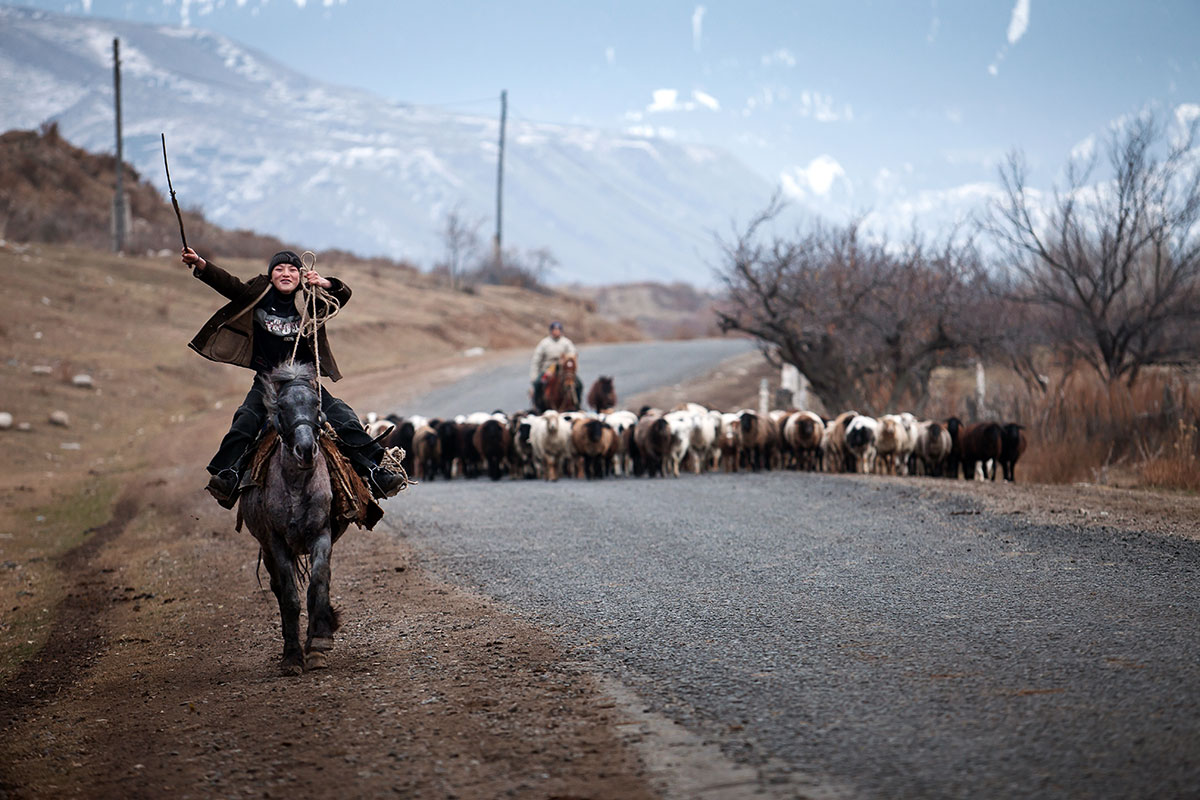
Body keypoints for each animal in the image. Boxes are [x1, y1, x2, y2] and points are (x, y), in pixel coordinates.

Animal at [236, 362, 345, 676]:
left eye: (316, 404)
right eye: (282, 406)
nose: (306, 450)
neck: (296, 484)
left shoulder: (321, 535)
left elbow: (318, 584)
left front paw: (319, 642)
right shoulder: (277, 543)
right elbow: (290, 597)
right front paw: (293, 657)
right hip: (266, 549)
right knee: (277, 588)